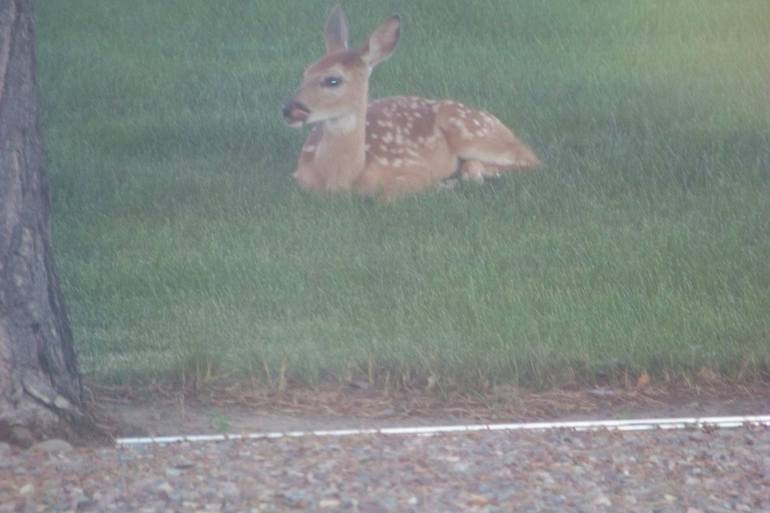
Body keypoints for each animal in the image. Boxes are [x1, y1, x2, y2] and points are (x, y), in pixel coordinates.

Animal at [282, 6, 540, 202]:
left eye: (333, 80)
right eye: (305, 73)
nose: (288, 109)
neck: (342, 179)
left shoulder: (412, 168)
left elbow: (388, 197)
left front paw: (442, 186)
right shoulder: (300, 177)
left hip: (471, 131)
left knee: (532, 159)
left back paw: (474, 173)